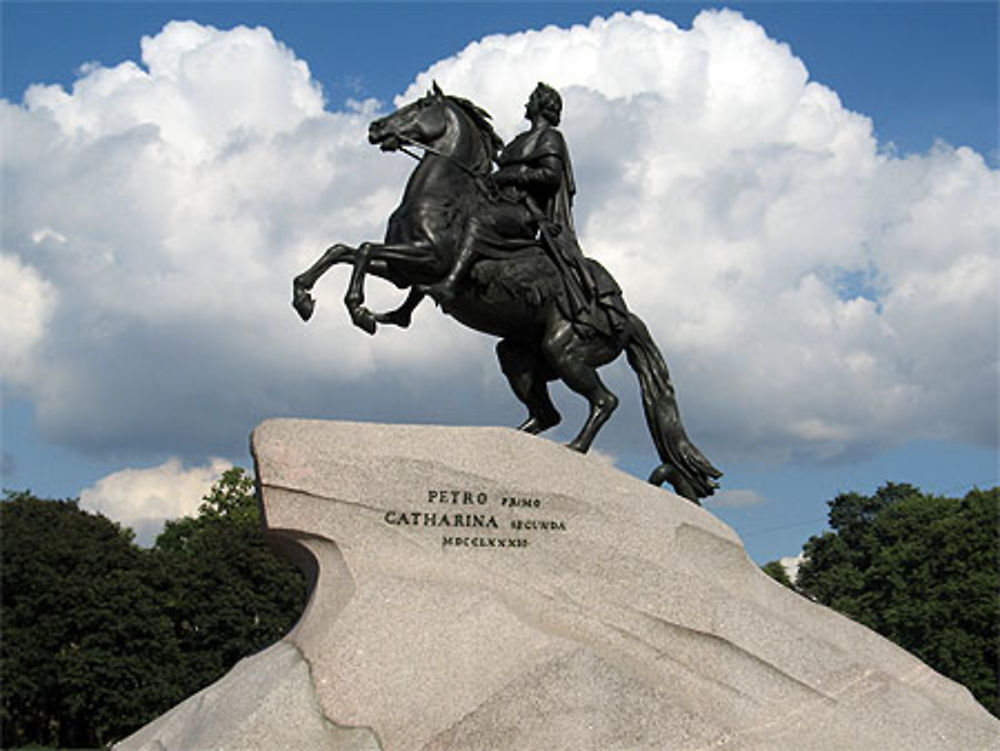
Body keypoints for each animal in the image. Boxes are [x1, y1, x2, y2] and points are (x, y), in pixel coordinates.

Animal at [290, 85, 720, 502]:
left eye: (421, 106)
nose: (376, 128)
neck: (442, 194)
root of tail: (626, 318)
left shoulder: (428, 258)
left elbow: (363, 250)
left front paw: (359, 311)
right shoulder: (402, 269)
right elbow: (343, 250)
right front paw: (304, 297)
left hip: (565, 350)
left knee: (604, 400)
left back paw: (575, 448)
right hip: (518, 355)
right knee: (547, 414)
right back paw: (513, 440)